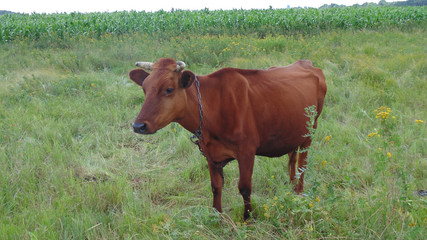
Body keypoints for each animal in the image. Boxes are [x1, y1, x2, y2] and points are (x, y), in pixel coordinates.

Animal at [129, 57, 326, 219]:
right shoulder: (210, 153)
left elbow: (244, 187)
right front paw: (217, 215)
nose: (138, 126)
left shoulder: (247, 151)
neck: (213, 108)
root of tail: (306, 63)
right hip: (293, 132)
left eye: (169, 89)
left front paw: (248, 217)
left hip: (311, 131)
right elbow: (216, 186)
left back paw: (299, 192)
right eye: (145, 89)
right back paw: (291, 185)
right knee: (292, 157)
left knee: (302, 164)